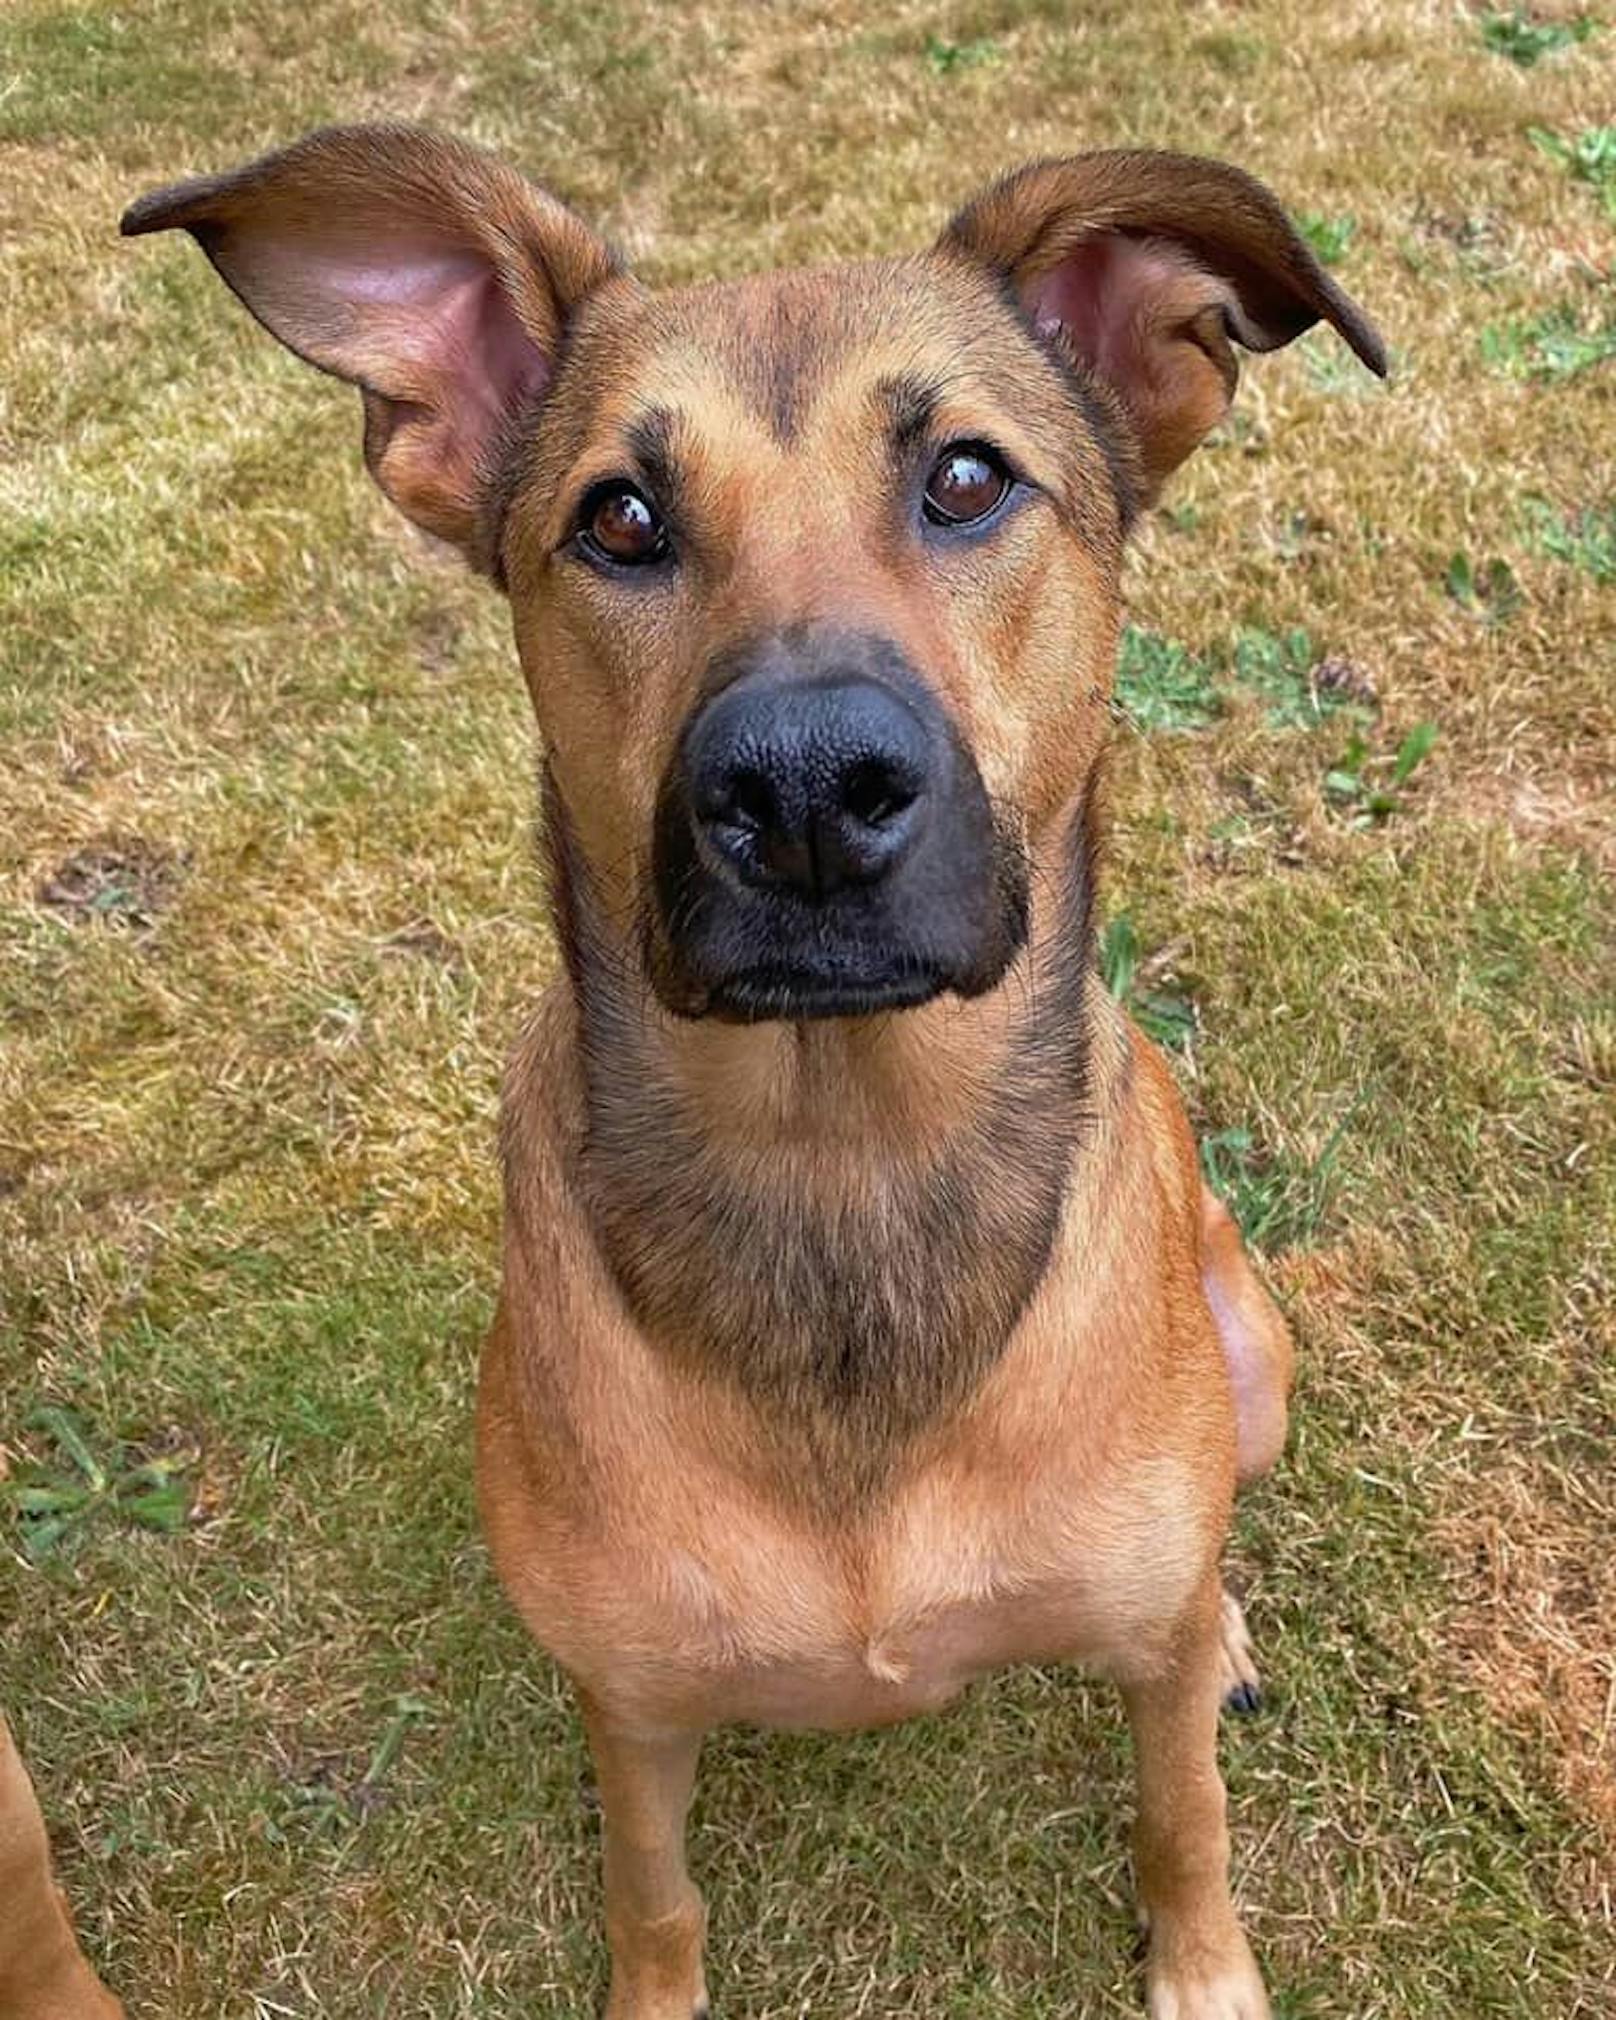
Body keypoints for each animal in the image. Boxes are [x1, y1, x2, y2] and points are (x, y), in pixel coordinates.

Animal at [126, 130, 1381, 2020]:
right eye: (619, 519)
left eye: (964, 478)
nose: (801, 788)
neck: (841, 1172)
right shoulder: (630, 1704)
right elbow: (653, 1899)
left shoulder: (1145, 1655)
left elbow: (1184, 1817)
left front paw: (1204, 1971)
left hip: (1258, 1359)